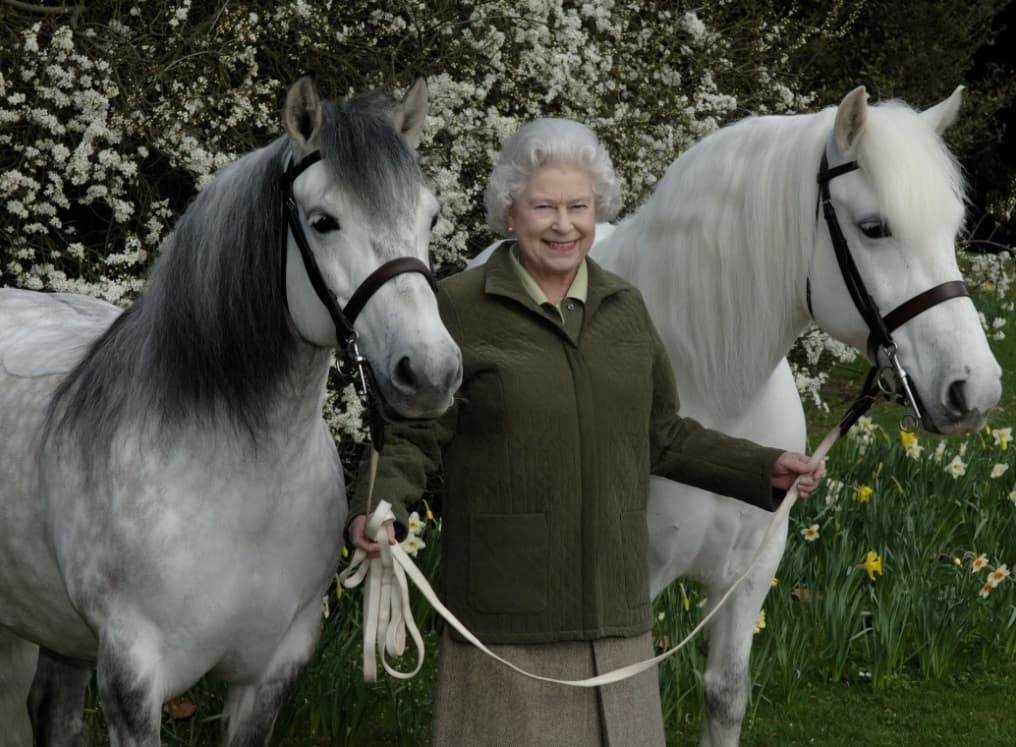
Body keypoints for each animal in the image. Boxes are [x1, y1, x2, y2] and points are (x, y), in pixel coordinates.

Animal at [0, 77, 462, 745]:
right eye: (323, 222)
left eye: (431, 215)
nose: (429, 373)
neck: (240, 475)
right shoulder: (132, 683)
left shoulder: (272, 674)